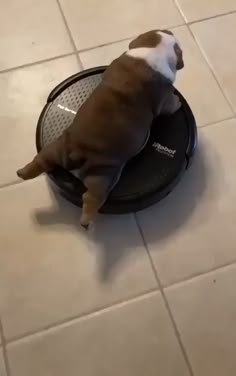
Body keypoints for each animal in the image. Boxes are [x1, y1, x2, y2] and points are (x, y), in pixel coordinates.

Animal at [17, 29, 184, 228]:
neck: (154, 48)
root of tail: (77, 152)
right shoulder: (164, 99)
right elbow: (170, 104)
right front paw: (178, 102)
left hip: (56, 148)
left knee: (40, 161)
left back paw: (22, 173)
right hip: (102, 176)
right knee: (92, 197)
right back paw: (86, 221)